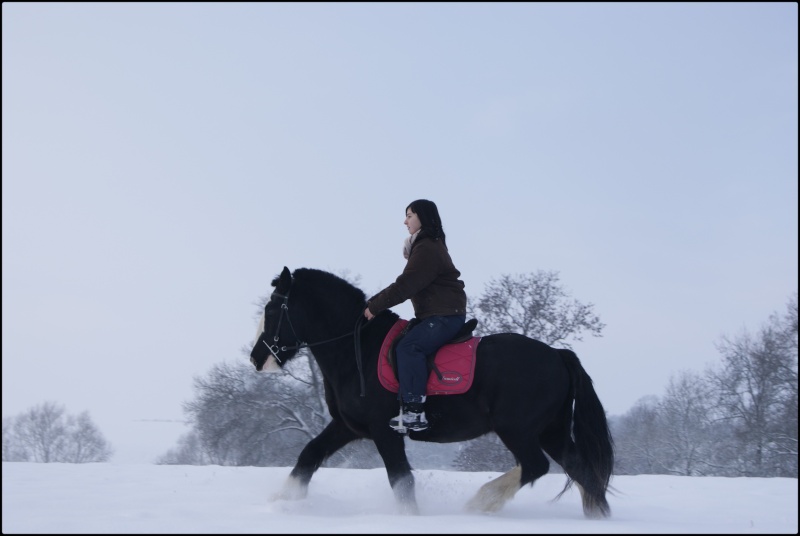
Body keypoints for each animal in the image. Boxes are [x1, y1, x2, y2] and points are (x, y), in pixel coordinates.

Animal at [250, 268, 612, 520]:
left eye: (271, 310)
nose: (257, 358)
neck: (357, 351)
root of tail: (558, 355)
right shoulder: (347, 427)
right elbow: (308, 456)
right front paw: (281, 502)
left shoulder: (385, 431)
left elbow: (401, 480)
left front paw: (411, 518)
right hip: (552, 431)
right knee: (582, 471)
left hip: (518, 429)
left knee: (535, 465)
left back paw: (480, 502)